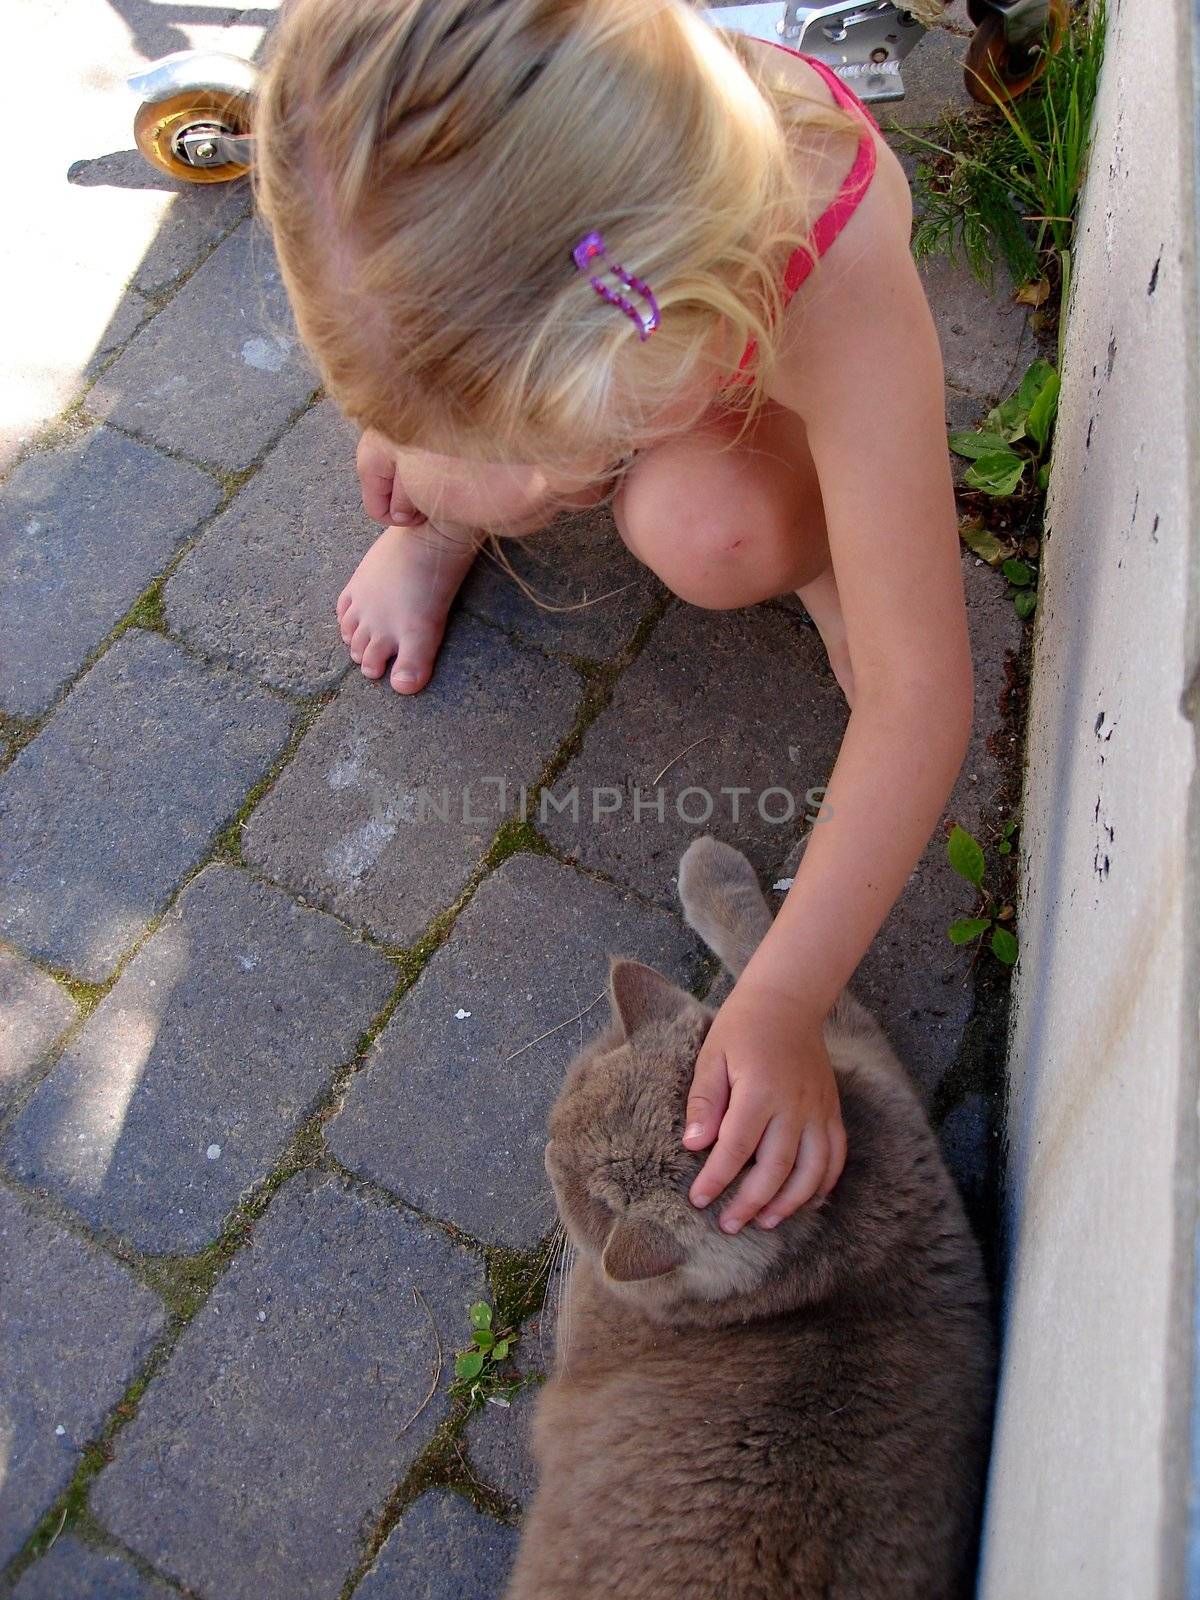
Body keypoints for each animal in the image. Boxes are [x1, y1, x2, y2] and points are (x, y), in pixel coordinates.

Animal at [508, 838, 998, 1600]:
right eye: (570, 1095)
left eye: (579, 1197)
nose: (546, 1151)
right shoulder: (841, 1076)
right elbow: (776, 967)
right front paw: (716, 868)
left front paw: (707, 868)